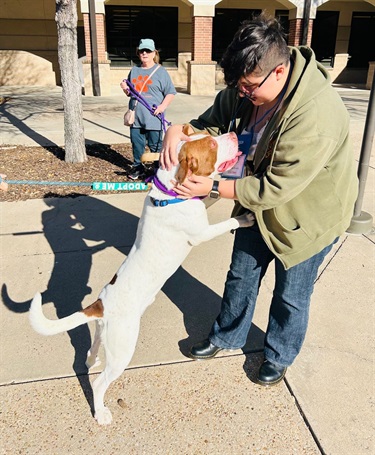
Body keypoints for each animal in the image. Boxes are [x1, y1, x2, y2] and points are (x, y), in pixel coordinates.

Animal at [29, 129, 256, 428]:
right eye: (210, 143)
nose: (233, 133)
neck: (169, 194)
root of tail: (101, 304)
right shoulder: (201, 233)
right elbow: (227, 223)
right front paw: (245, 218)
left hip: (105, 334)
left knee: (91, 350)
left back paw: (90, 362)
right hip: (123, 349)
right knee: (99, 384)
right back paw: (100, 412)